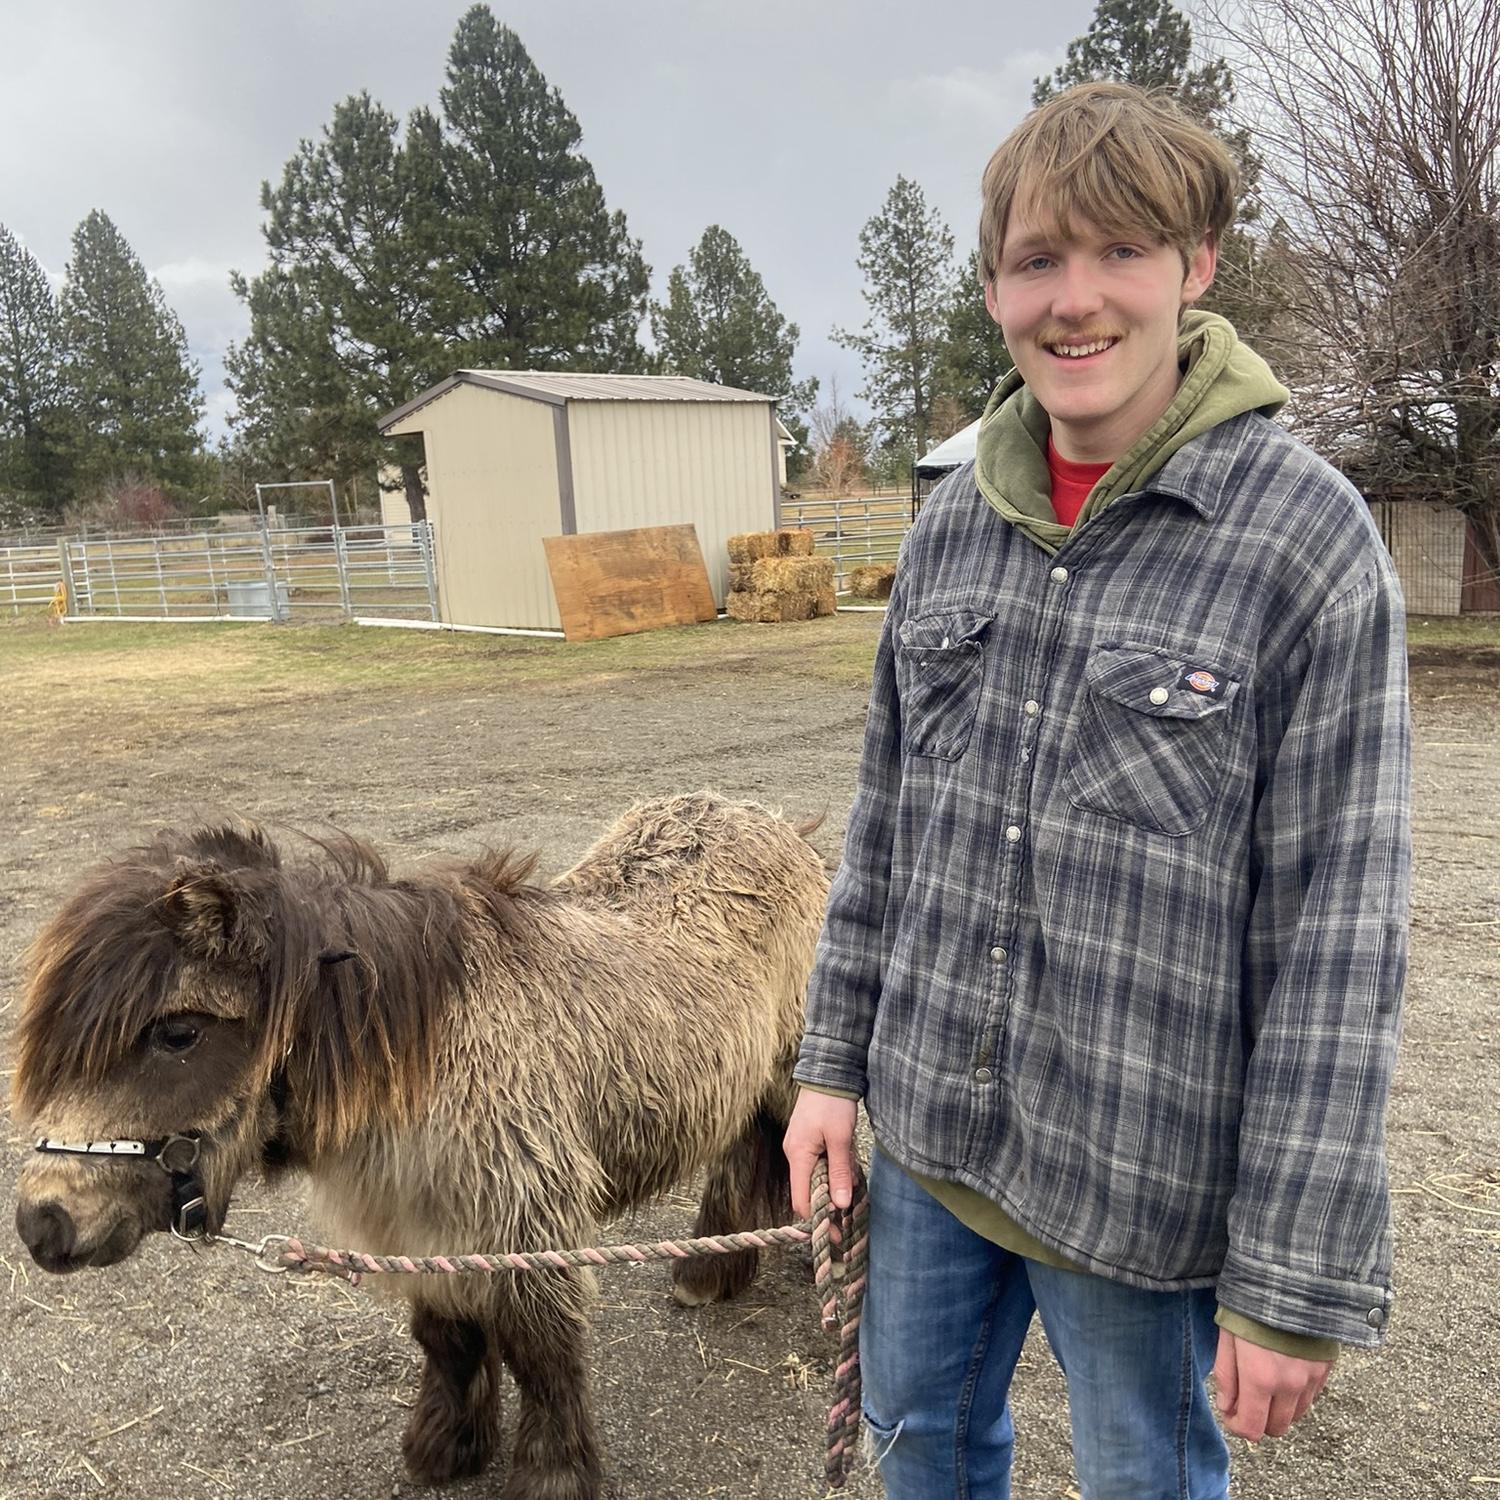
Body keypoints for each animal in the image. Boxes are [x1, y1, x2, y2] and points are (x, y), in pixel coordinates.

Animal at [11, 792, 828, 1500]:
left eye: (178, 1033)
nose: (42, 1224)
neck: (426, 1051)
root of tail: (778, 825)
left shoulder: (525, 1221)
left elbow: (541, 1352)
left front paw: (551, 1477)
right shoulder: (418, 1224)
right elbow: (446, 1336)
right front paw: (446, 1448)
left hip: (797, 1074)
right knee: (750, 1153)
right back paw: (709, 1272)